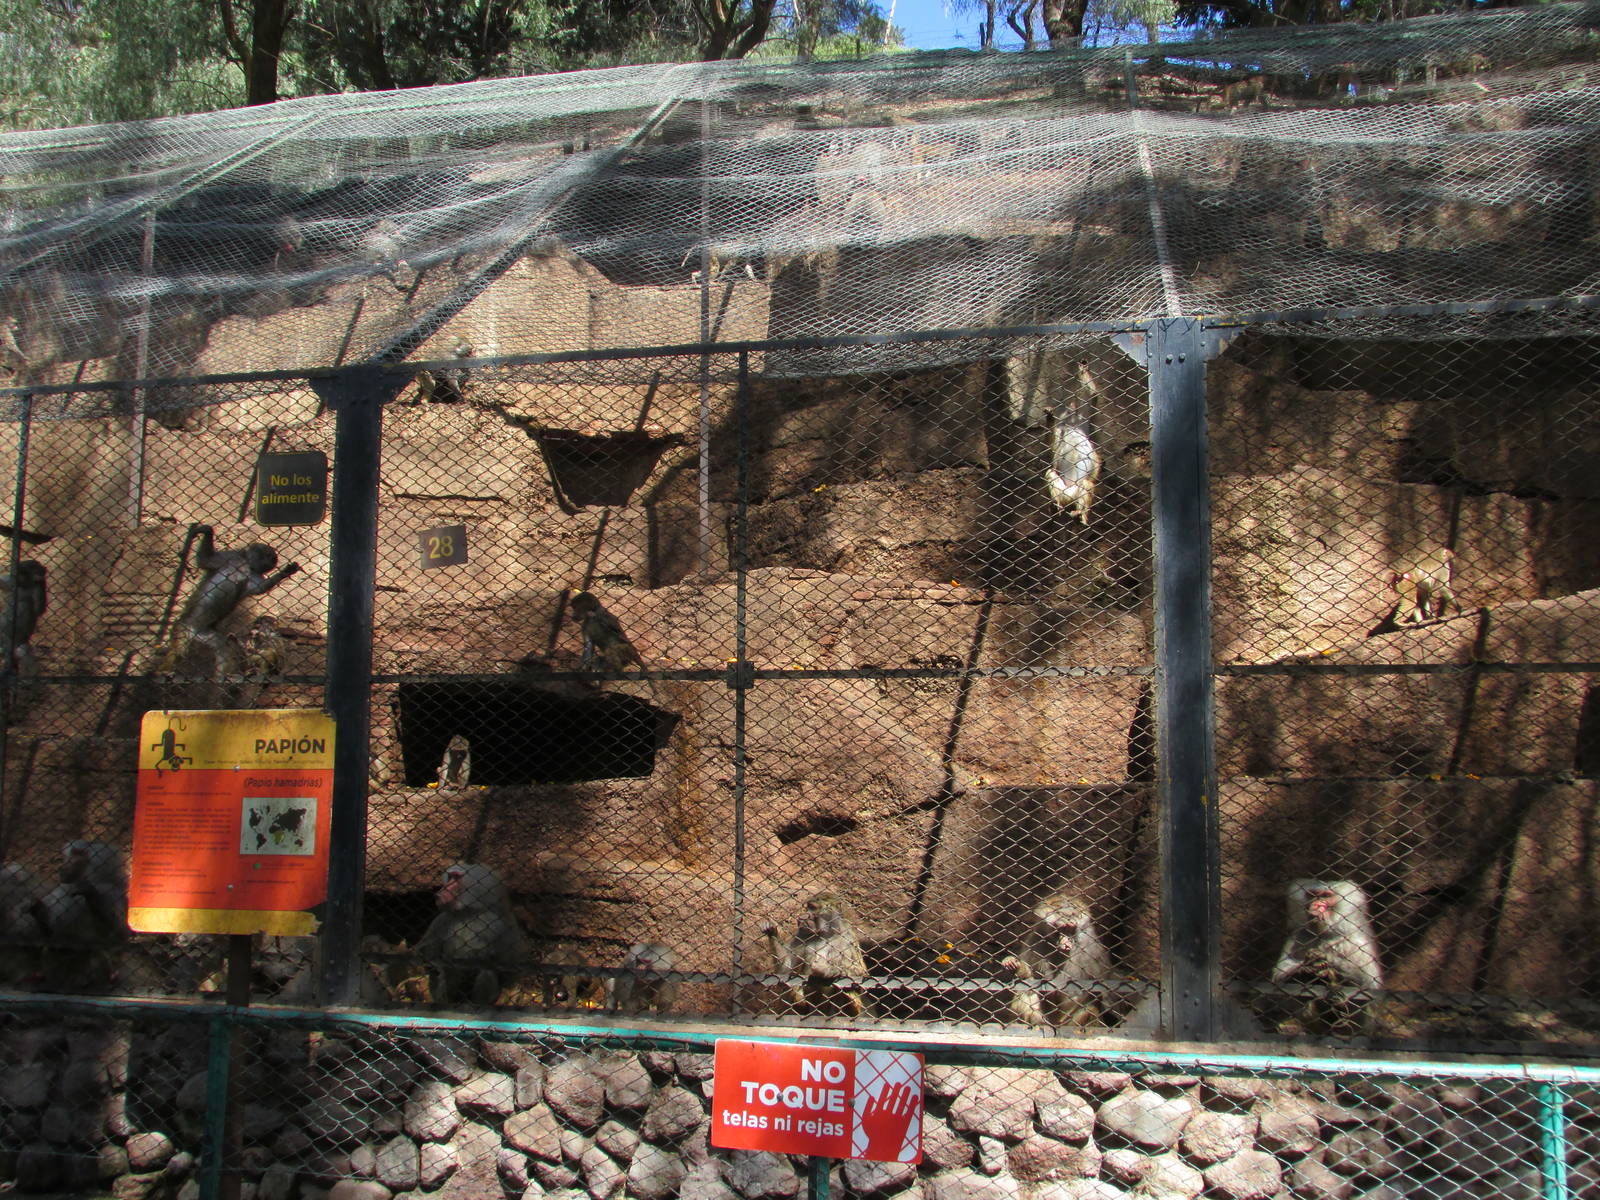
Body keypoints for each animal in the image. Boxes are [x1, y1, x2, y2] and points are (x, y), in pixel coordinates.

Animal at [161, 526, 299, 678]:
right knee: (179, 649)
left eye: (270, 560)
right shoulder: (231, 557)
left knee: (223, 647)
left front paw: (284, 573)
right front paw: (206, 530)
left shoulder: (253, 574)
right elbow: (206, 559)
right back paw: (165, 670)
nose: (271, 561)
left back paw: (222, 676)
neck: (246, 565)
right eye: (268, 555)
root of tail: (196, 632)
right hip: (185, 625)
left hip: (206, 635)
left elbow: (259, 588)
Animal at [415, 864, 527, 1007]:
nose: (441, 891)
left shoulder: (500, 925)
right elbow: (425, 953)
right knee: (449, 973)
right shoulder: (442, 921)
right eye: (450, 877)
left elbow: (511, 966)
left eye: (456, 878)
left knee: (486, 973)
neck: (468, 913)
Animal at [1001, 888, 1112, 1029]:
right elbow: (1031, 977)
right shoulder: (1036, 940)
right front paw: (1013, 964)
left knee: (1091, 1005)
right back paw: (1037, 1023)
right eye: (1061, 928)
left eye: (1070, 928)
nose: (1066, 942)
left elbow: (1099, 987)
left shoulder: (1091, 947)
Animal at [1271, 879, 1383, 1035]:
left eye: (1326, 896)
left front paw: (1328, 965)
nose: (1316, 905)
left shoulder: (1357, 941)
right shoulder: (1297, 936)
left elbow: (1370, 986)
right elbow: (1279, 979)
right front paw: (1305, 969)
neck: (1325, 933)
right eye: (1313, 895)